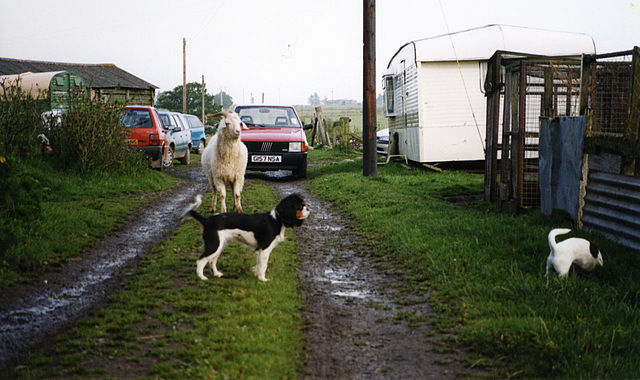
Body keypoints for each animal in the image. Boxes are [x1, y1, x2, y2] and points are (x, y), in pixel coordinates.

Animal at [182, 194, 310, 280]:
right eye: (301, 206)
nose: (309, 209)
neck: (277, 219)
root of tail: (207, 220)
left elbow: (259, 265)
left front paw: (257, 276)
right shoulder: (265, 249)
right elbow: (263, 266)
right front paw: (262, 279)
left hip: (219, 245)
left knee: (212, 261)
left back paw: (217, 274)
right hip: (214, 245)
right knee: (201, 260)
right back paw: (201, 277)